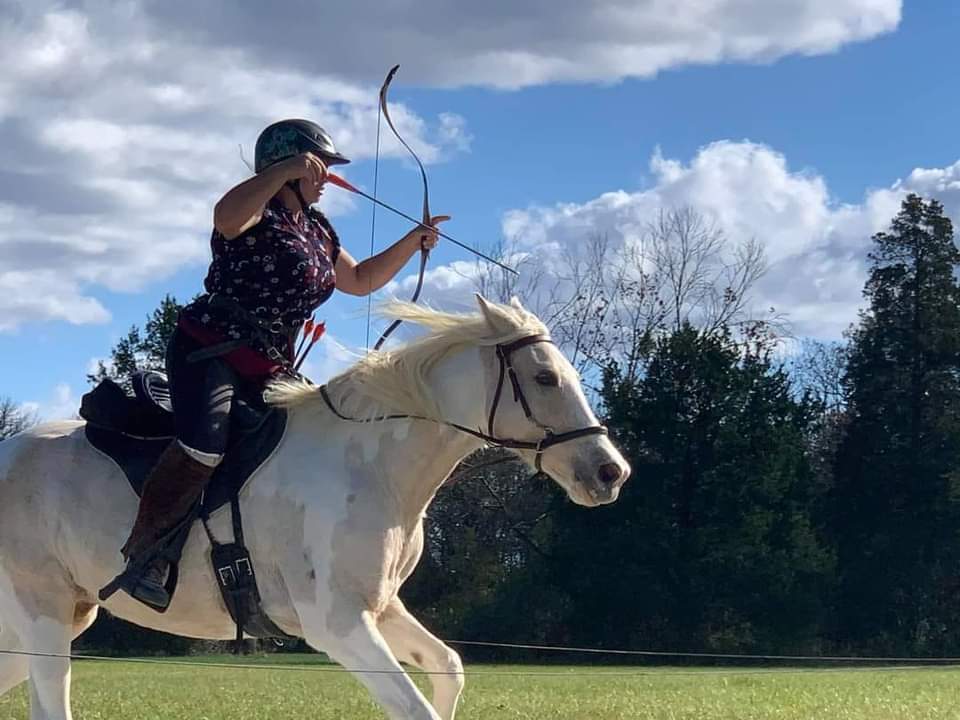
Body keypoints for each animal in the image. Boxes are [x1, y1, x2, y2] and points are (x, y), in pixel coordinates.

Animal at [0, 296, 632, 716]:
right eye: (545, 377)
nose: (610, 472)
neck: (372, 465)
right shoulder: (338, 625)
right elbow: (414, 706)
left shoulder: (381, 609)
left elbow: (447, 669)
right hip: (45, 618)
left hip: (46, 623)